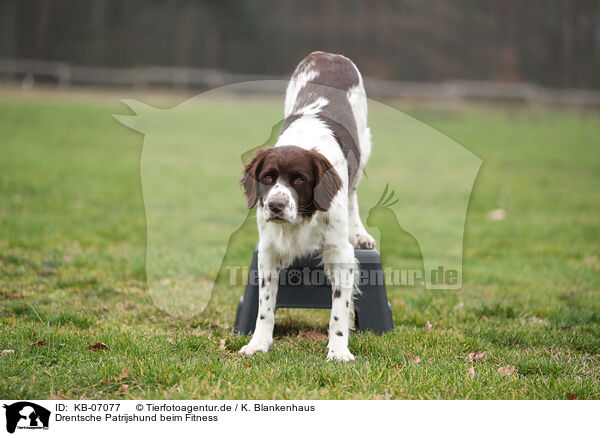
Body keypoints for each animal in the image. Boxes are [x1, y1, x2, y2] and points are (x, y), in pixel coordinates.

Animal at [240, 51, 372, 362]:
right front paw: (258, 343)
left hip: (363, 147)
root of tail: (328, 54)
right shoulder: (268, 250)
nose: (275, 205)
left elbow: (338, 309)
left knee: (353, 194)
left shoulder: (340, 253)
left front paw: (339, 350)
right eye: (267, 178)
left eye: (299, 179)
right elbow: (265, 306)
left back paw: (361, 234)